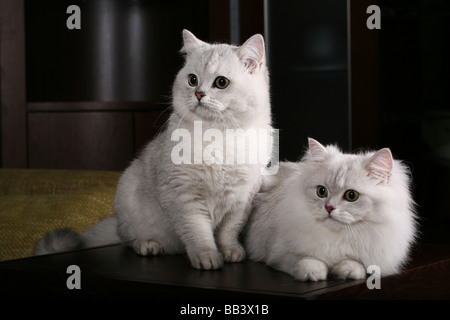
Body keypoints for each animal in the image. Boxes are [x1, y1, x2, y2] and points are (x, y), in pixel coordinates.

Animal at [35, 30, 272, 270]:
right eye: (192, 80)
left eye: (221, 82)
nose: (198, 94)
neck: (220, 137)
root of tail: (117, 223)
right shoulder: (183, 196)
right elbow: (198, 233)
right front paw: (207, 257)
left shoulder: (241, 200)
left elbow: (228, 232)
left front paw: (231, 251)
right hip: (128, 199)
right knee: (130, 240)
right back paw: (148, 245)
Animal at [243, 138, 418, 280]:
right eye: (322, 192)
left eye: (351, 195)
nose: (328, 208)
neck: (338, 236)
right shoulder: (279, 253)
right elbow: (307, 260)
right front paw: (314, 273)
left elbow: (356, 264)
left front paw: (346, 271)